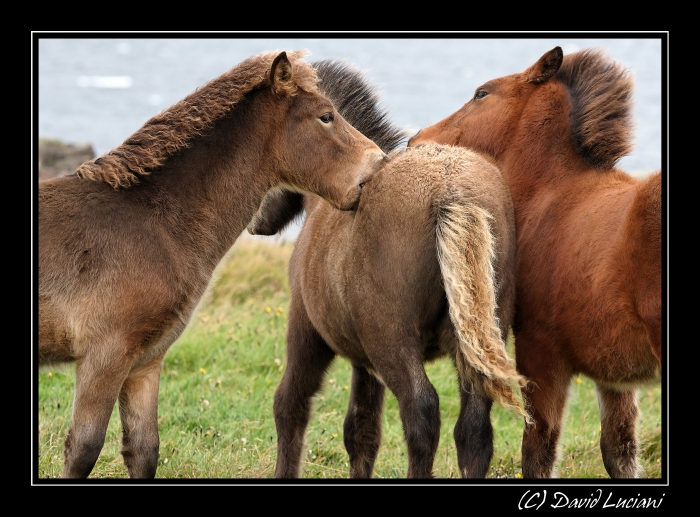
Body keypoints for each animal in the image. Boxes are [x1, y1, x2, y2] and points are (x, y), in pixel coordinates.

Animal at [37, 50, 388, 478]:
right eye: (325, 116)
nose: (378, 165)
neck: (151, 223)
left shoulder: (144, 364)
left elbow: (143, 450)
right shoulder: (103, 359)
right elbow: (84, 450)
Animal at [249, 59, 528, 476]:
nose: (255, 221)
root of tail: (451, 191)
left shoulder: (307, 331)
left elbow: (290, 405)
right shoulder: (364, 363)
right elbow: (362, 430)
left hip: (393, 342)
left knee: (421, 411)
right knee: (474, 427)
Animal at [408, 46, 664, 478]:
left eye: (482, 93)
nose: (416, 140)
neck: (553, 195)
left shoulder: (540, 350)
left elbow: (538, 446)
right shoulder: (614, 374)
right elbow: (619, 449)